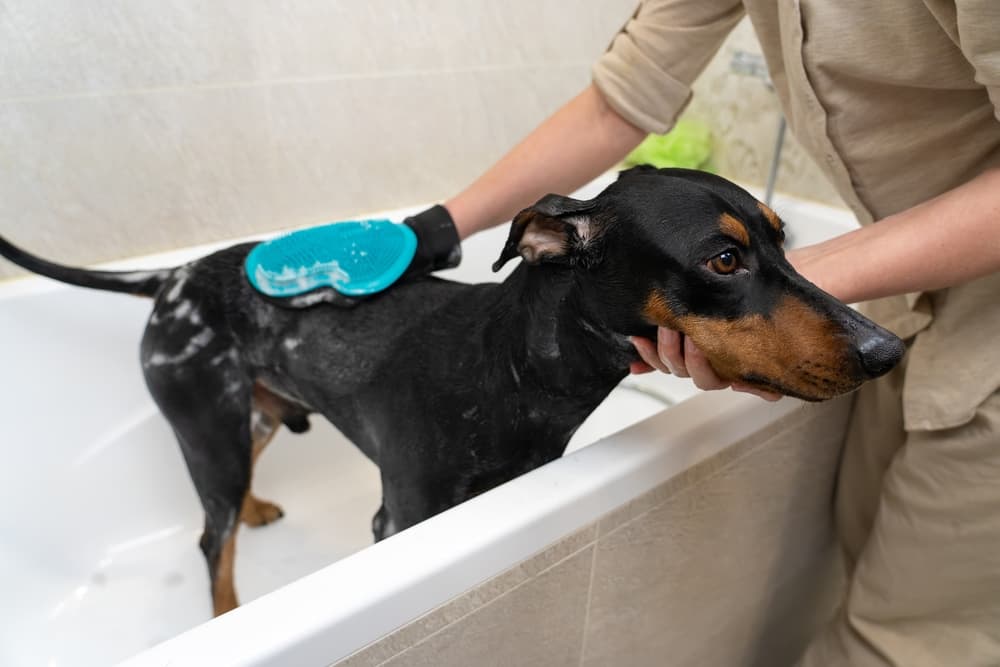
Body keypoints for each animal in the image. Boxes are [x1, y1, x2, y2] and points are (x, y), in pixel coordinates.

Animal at [0, 167, 908, 616]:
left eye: (783, 241)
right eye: (724, 260)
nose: (888, 347)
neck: (508, 369)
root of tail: (174, 277)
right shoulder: (401, 519)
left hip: (248, 419)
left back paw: (257, 509)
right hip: (208, 429)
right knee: (208, 541)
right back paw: (228, 612)